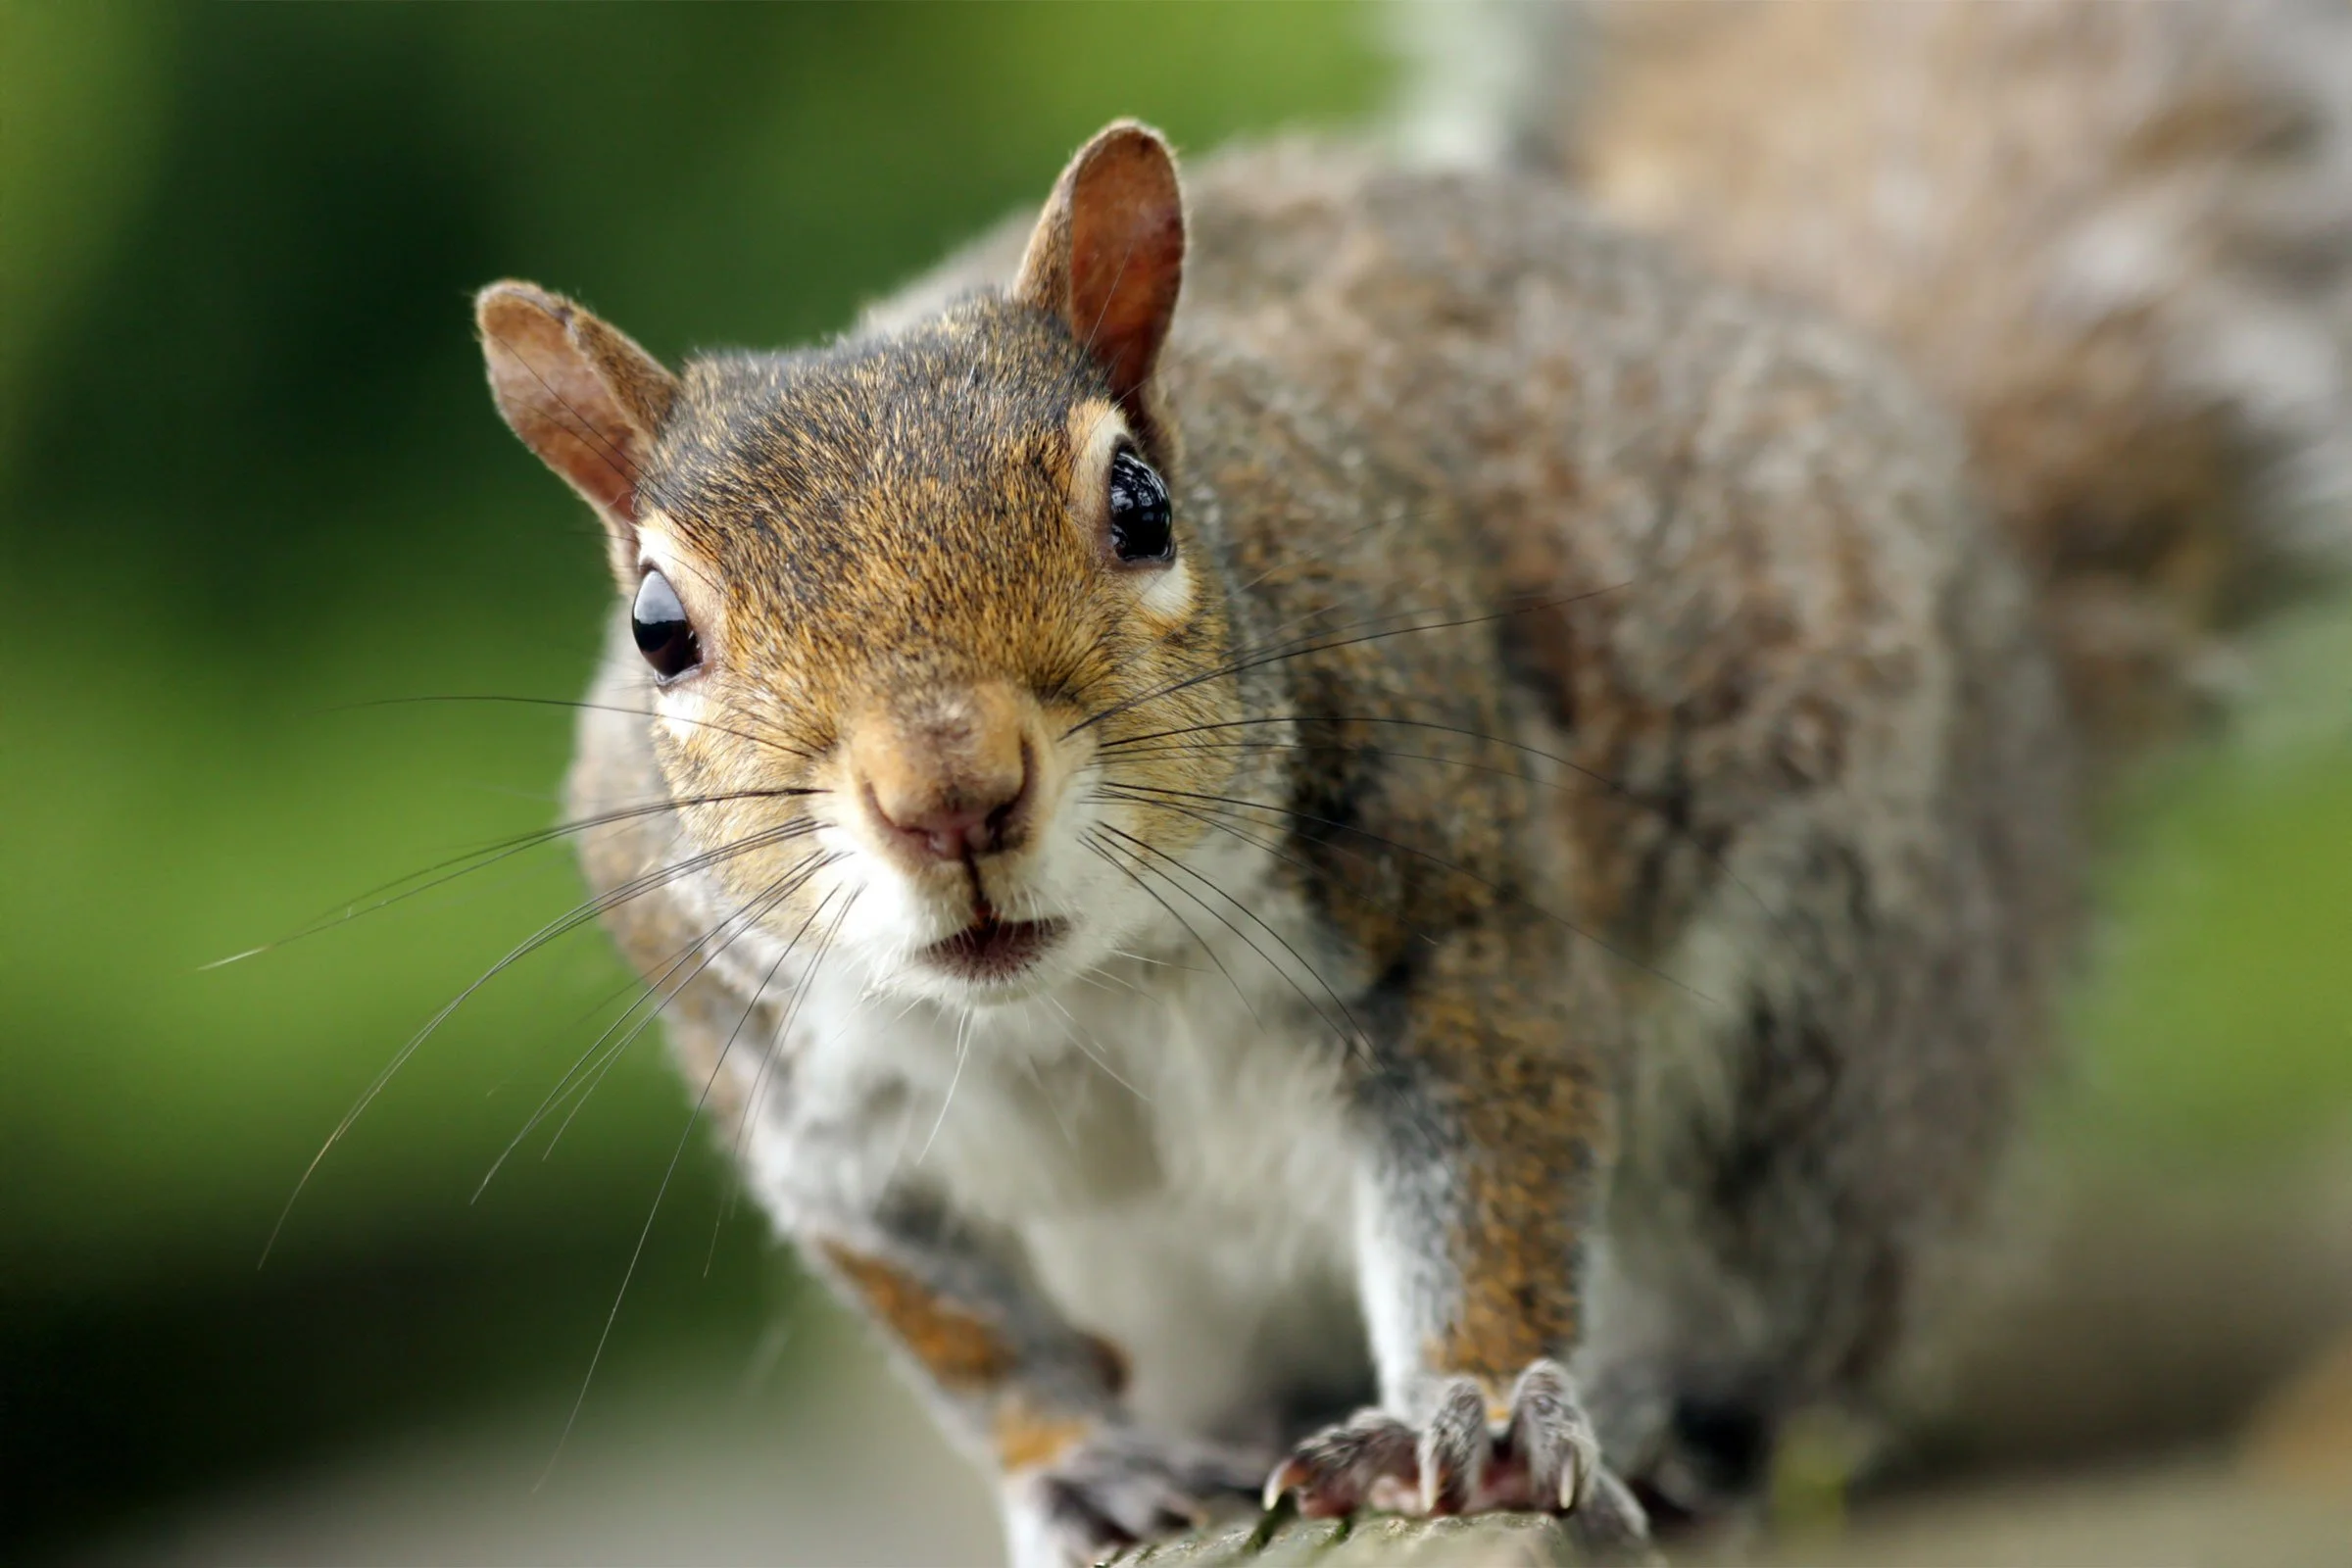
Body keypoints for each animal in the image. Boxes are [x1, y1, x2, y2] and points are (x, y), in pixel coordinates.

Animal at [469, 5, 2352, 1556]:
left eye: (1141, 502)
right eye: (657, 627)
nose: (953, 794)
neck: (1084, 994)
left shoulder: (1453, 913)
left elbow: (1494, 1172)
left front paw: (1480, 1413)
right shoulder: (803, 1103)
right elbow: (961, 1329)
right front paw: (1080, 1462)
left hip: (1824, 1033)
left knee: (1807, 1328)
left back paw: (1675, 1418)